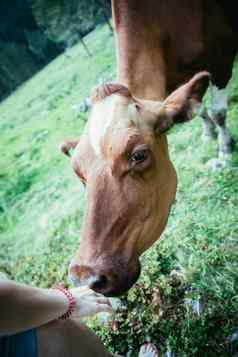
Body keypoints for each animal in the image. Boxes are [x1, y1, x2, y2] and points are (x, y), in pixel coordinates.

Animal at [62, 0, 238, 294]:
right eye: (78, 173)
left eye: (139, 155)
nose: (86, 277)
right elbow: (199, 109)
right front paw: (208, 134)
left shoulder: (222, 56)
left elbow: (218, 111)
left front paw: (224, 148)